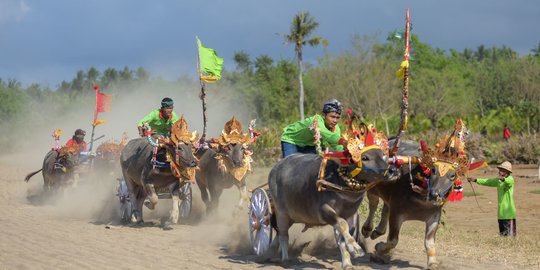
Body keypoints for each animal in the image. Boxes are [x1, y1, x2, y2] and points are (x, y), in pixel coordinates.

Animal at [268, 123, 390, 270]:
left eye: (383, 156)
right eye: (365, 157)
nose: (391, 171)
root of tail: (275, 169)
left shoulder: (351, 214)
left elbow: (342, 238)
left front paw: (348, 263)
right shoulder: (324, 210)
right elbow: (342, 225)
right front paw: (355, 248)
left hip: (292, 215)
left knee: (279, 233)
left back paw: (273, 251)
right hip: (281, 212)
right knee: (283, 234)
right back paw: (285, 259)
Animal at [362, 124, 468, 268]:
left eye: (452, 175)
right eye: (433, 170)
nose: (434, 194)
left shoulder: (434, 217)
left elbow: (429, 243)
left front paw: (433, 263)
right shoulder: (397, 213)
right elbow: (393, 240)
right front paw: (379, 248)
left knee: (385, 208)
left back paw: (378, 231)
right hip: (373, 189)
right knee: (373, 205)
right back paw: (367, 229)